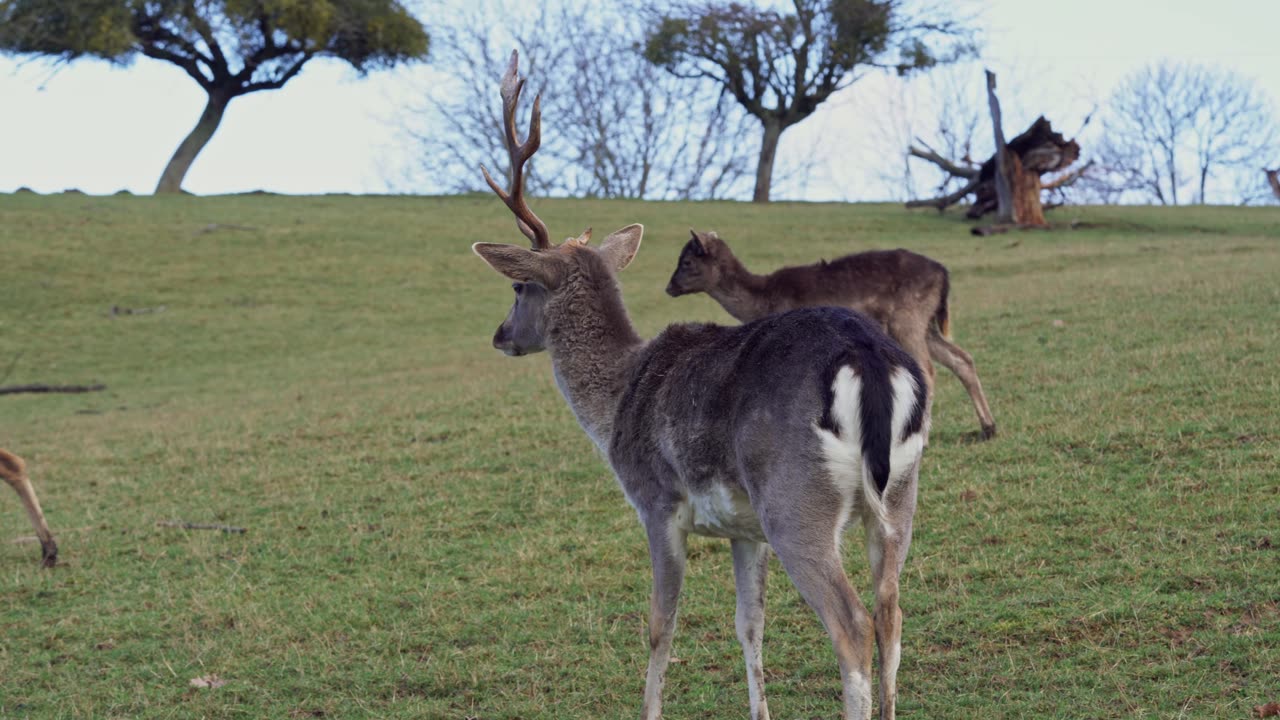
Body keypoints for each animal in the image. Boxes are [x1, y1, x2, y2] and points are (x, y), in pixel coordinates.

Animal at [471, 50, 931, 717]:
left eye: (516, 286)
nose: (500, 335)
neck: (616, 401)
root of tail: (869, 360)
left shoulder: (657, 502)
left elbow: (660, 626)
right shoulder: (744, 530)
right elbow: (750, 624)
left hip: (795, 500)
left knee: (853, 625)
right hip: (898, 496)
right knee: (892, 614)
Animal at [670, 233, 998, 440]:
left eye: (686, 262)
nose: (669, 287)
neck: (763, 301)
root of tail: (944, 274)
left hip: (908, 318)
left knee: (928, 370)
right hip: (926, 323)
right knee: (962, 358)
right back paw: (988, 428)